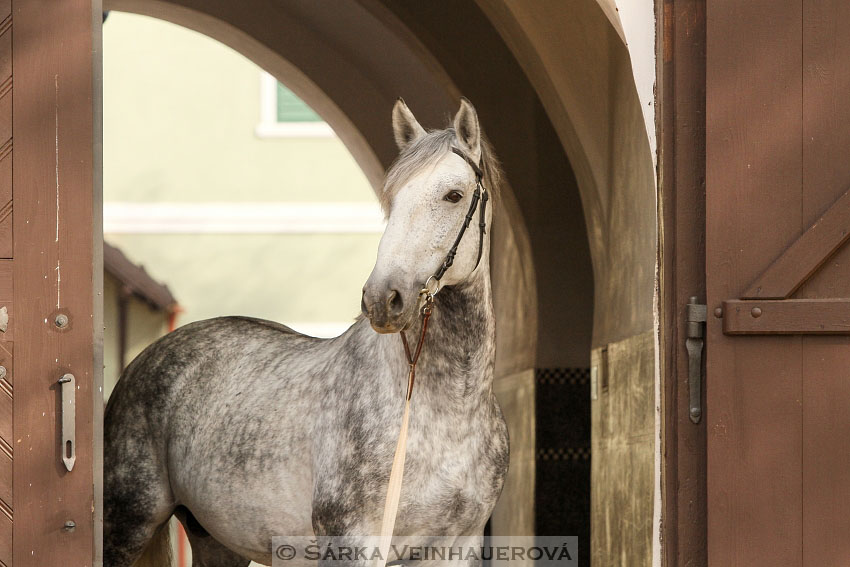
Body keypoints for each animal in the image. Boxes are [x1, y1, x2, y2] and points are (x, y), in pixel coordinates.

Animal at [102, 100, 506, 564]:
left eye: (453, 195)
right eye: (392, 198)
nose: (382, 298)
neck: (444, 415)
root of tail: (145, 360)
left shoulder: (457, 546)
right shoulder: (352, 542)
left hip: (213, 539)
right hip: (125, 526)